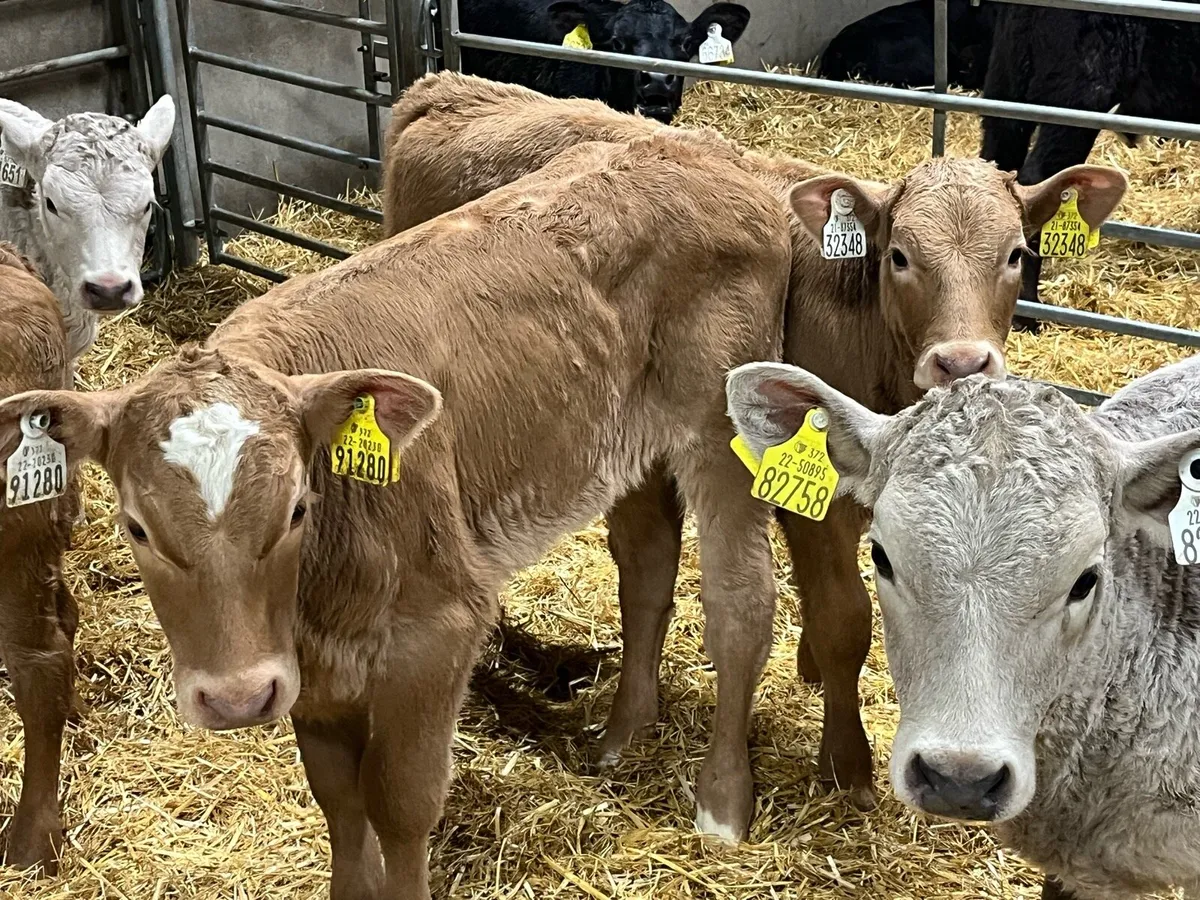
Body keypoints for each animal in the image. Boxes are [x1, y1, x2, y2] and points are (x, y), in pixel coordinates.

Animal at [0, 132, 793, 894]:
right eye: (137, 527)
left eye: (297, 509)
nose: (236, 699)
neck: (317, 596)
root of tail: (709, 152)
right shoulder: (307, 665)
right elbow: (338, 797)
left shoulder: (438, 629)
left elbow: (399, 802)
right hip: (622, 445)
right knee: (647, 568)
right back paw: (623, 735)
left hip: (723, 425)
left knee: (741, 601)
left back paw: (722, 805)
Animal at [381, 72, 1128, 811]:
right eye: (899, 256)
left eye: (1017, 254)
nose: (963, 362)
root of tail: (448, 86)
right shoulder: (816, 502)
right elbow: (844, 619)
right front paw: (846, 765)